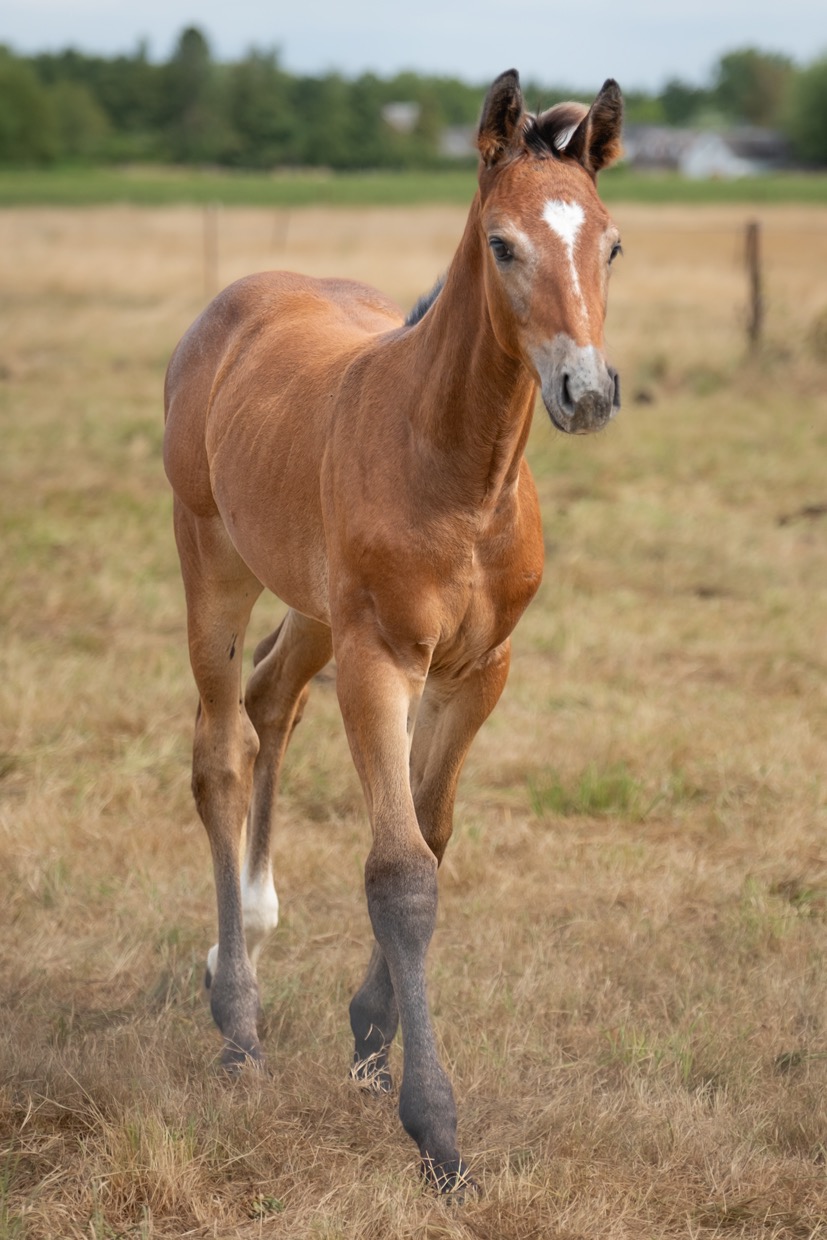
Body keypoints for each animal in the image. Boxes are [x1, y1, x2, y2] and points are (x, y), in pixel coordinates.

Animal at [163, 68, 623, 1193]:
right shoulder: (382, 661)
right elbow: (400, 873)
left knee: (271, 698)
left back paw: (246, 939)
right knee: (220, 748)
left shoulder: (478, 669)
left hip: (314, 602)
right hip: (215, 563)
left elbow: (431, 830)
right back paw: (235, 1022)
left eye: (610, 243)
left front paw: (371, 1032)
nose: (586, 393)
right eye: (502, 244)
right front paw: (437, 1130)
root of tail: (242, 295)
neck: (456, 469)